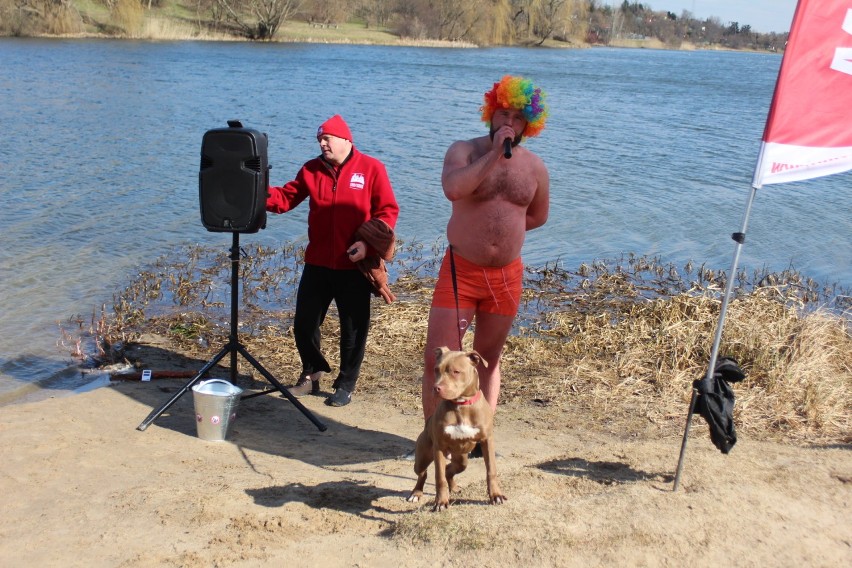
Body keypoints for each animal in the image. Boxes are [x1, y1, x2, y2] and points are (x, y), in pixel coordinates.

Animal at [406, 346, 506, 510]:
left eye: (456, 372)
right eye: (436, 370)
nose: (436, 388)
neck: (461, 404)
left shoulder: (487, 441)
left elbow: (491, 470)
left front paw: (496, 495)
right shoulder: (439, 448)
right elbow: (439, 477)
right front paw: (441, 502)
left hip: (461, 460)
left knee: (449, 470)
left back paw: (453, 488)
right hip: (422, 457)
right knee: (423, 473)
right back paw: (416, 493)